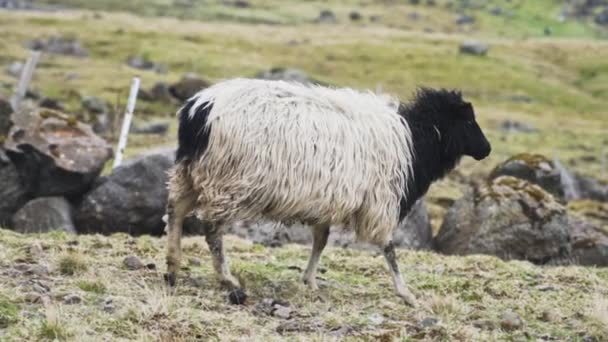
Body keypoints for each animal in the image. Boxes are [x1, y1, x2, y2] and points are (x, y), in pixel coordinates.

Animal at [164, 79, 492, 306]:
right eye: (468, 120)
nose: (487, 149)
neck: (414, 140)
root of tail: (198, 110)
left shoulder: (327, 200)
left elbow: (321, 241)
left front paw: (309, 280)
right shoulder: (379, 202)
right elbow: (389, 248)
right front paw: (405, 292)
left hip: (191, 172)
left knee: (175, 211)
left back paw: (172, 268)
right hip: (226, 180)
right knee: (211, 230)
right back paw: (227, 280)